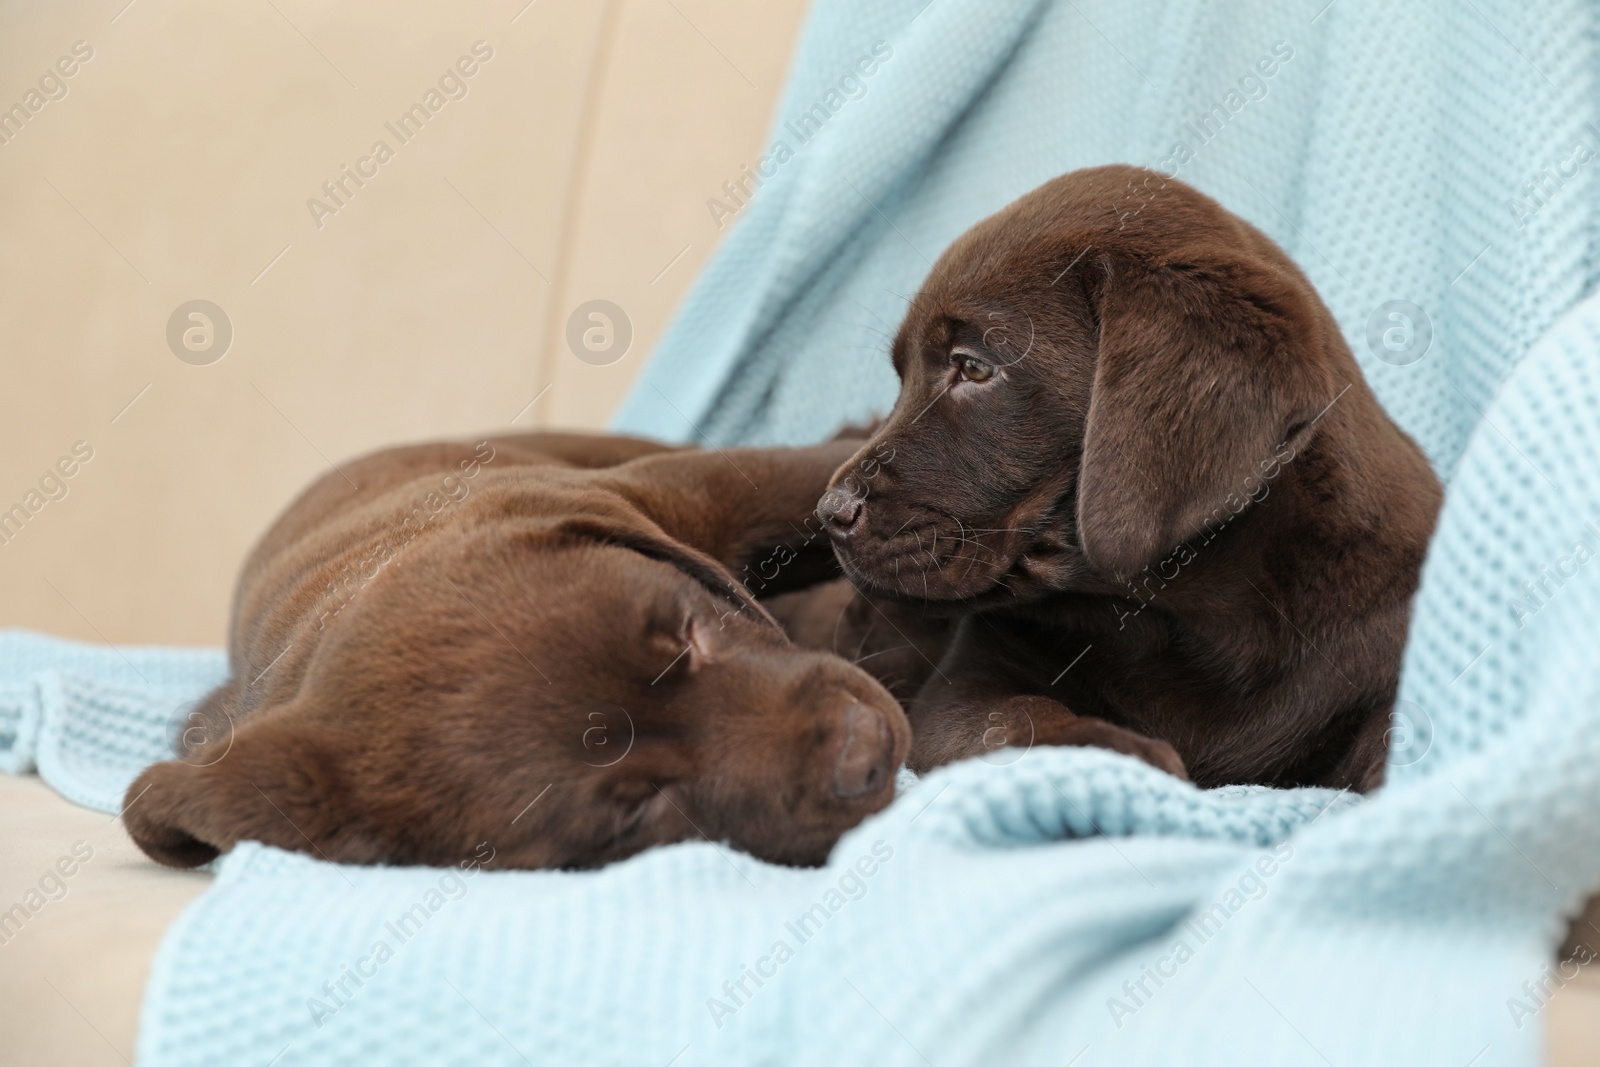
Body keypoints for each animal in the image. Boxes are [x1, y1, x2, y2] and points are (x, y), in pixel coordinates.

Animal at [819, 163, 1446, 790]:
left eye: (973, 367)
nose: (829, 513)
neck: (1182, 617)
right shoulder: (965, 686)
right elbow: (1021, 717)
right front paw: (1120, 752)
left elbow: (1390, 733)